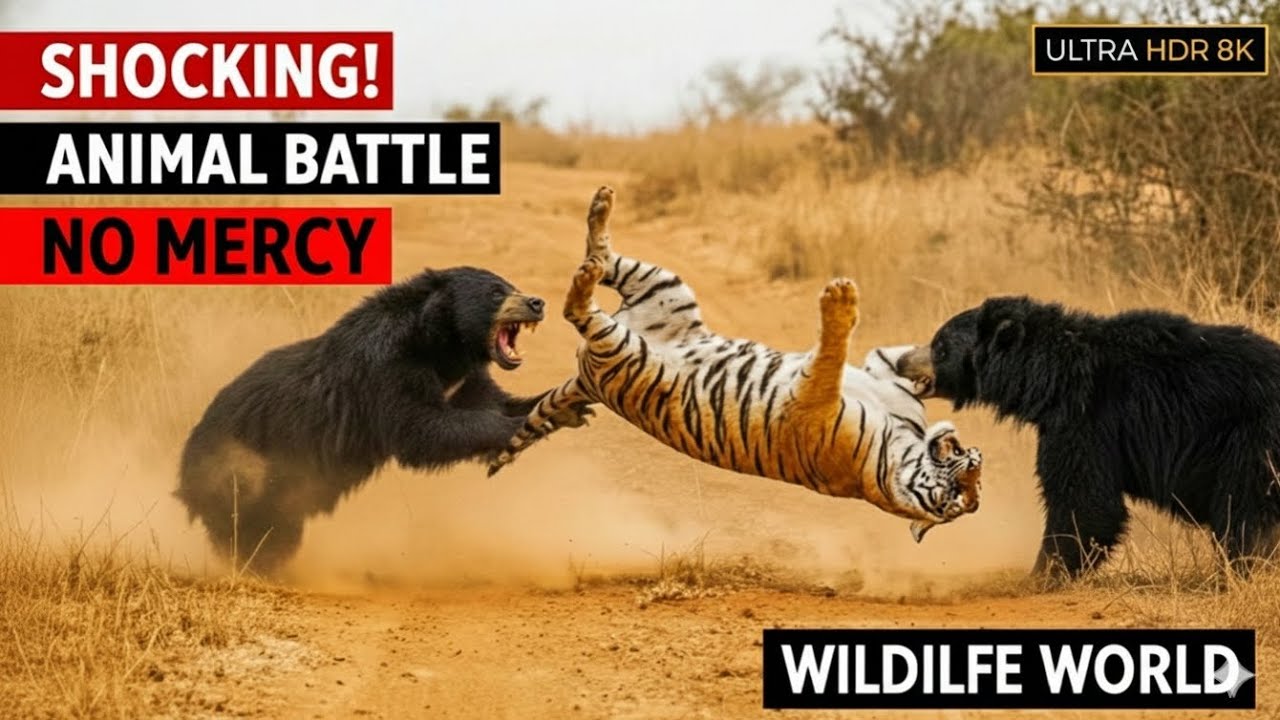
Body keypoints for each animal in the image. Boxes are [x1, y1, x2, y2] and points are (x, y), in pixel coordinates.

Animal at [175, 266, 591, 574]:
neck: (440, 345)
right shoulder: (387, 371)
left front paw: (564, 408)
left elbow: (496, 402)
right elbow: (423, 430)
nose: (538, 303)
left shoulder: (463, 379)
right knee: (248, 530)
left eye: (512, 287)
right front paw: (512, 430)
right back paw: (258, 568)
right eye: (495, 293)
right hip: (243, 471)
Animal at [488, 186, 983, 542]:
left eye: (961, 498)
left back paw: (585, 271)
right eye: (966, 483)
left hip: (624, 345)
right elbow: (893, 356)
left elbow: (831, 352)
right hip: (665, 286)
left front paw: (840, 300)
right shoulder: (876, 371)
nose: (975, 459)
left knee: (578, 307)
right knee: (603, 256)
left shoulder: (811, 398)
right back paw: (601, 205)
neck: (899, 443)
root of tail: (589, 376)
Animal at [896, 296, 1280, 581]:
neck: (1051, 377)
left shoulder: (1086, 420)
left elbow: (1085, 500)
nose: (901, 362)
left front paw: (1042, 574)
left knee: (1246, 508)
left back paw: (1240, 570)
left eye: (939, 346)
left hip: (1252, 439)